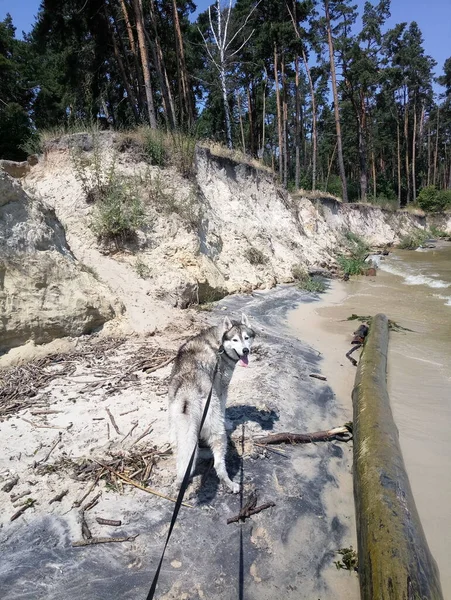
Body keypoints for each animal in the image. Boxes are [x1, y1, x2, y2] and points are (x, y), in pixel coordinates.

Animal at [169, 314, 256, 492]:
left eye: (246, 338)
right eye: (235, 339)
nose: (246, 351)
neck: (220, 343)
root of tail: (188, 392)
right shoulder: (221, 388)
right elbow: (223, 409)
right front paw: (228, 422)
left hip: (177, 430)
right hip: (217, 431)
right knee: (218, 465)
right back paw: (229, 482)